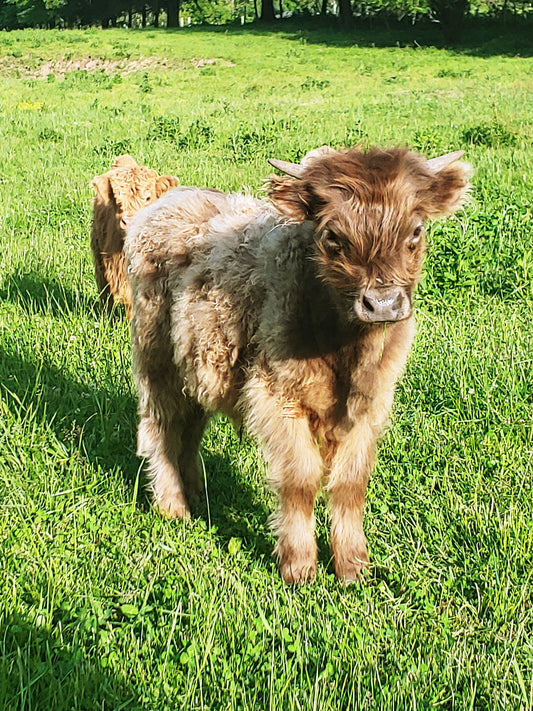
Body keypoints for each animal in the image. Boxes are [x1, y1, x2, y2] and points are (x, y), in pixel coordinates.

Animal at [125, 146, 471, 584]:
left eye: (415, 231)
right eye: (333, 236)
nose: (382, 304)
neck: (346, 351)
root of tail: (167, 200)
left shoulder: (370, 404)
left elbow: (350, 483)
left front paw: (353, 566)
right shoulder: (278, 398)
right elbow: (300, 480)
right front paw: (299, 565)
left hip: (199, 366)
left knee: (190, 426)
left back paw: (197, 492)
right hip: (156, 359)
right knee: (162, 427)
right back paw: (173, 506)